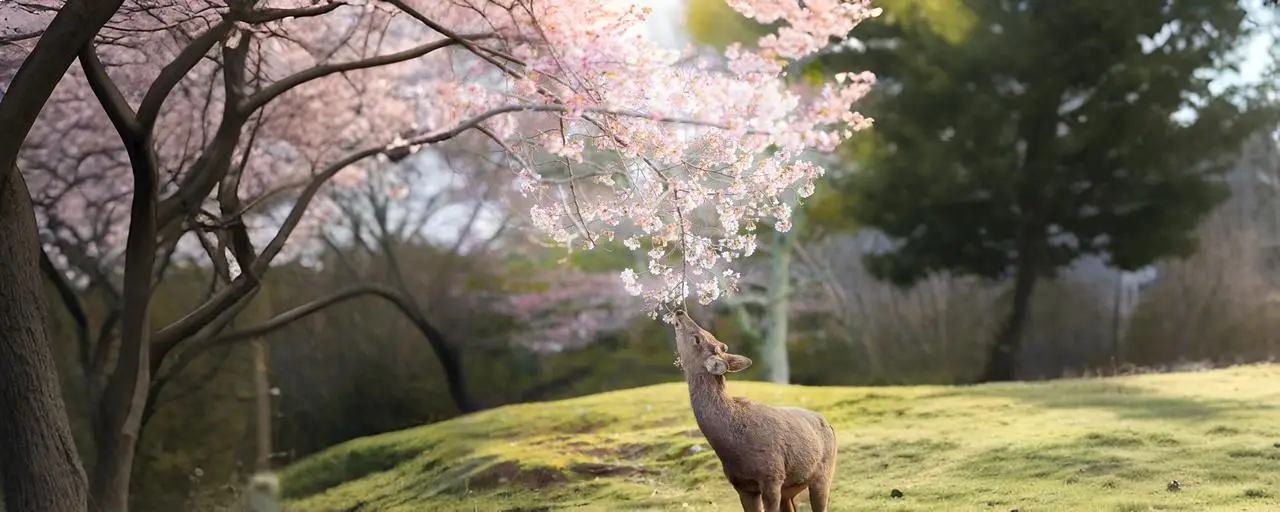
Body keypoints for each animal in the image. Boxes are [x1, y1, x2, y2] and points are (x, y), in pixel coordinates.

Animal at [670, 310, 838, 512]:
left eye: (697, 339)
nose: (680, 312)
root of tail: (829, 425)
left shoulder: (772, 476)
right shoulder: (742, 485)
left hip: (824, 473)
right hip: (790, 488)